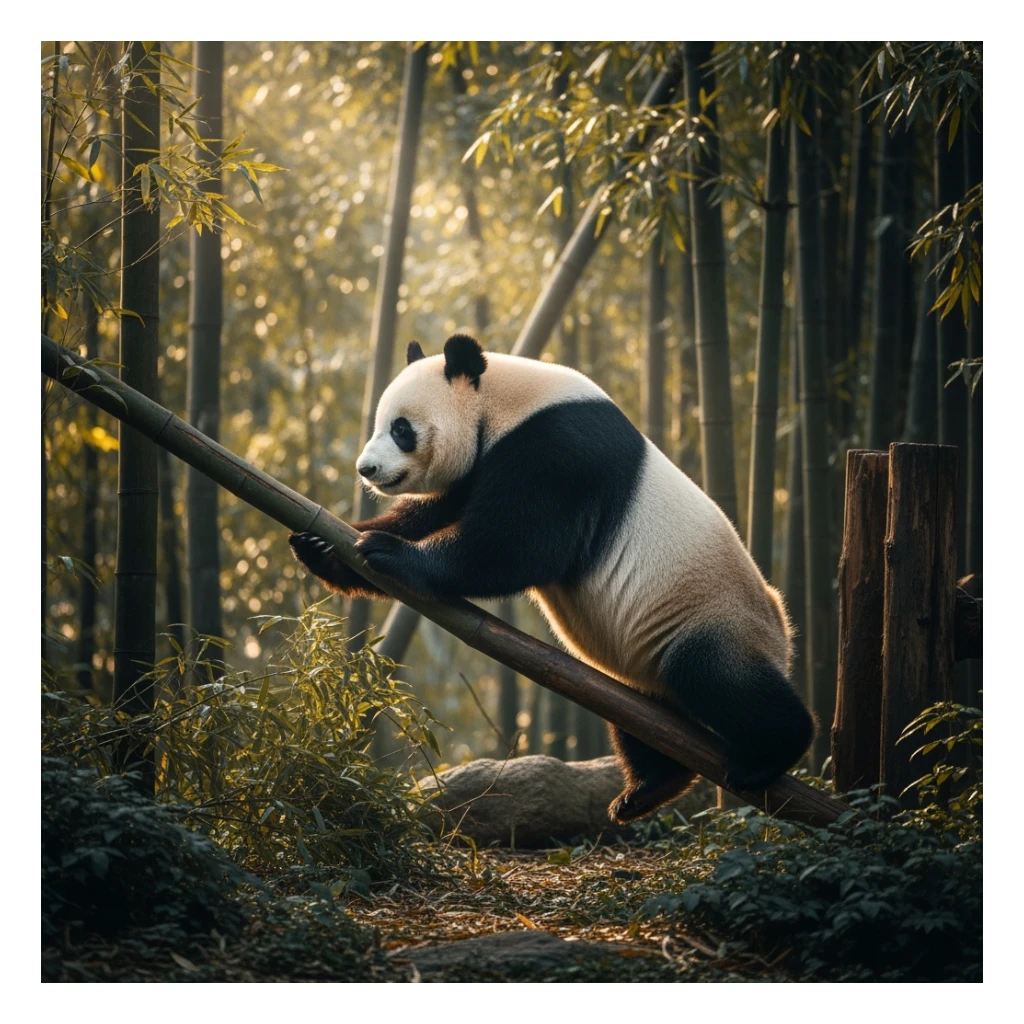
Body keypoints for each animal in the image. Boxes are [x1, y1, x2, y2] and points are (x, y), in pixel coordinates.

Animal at [290, 333, 815, 823]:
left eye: (401, 429)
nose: (366, 468)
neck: (504, 404)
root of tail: (785, 634)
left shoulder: (560, 451)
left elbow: (520, 544)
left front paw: (392, 554)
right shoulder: (482, 466)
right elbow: (434, 513)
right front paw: (324, 546)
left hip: (715, 615)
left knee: (714, 674)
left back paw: (769, 756)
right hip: (643, 667)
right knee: (641, 714)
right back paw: (650, 789)